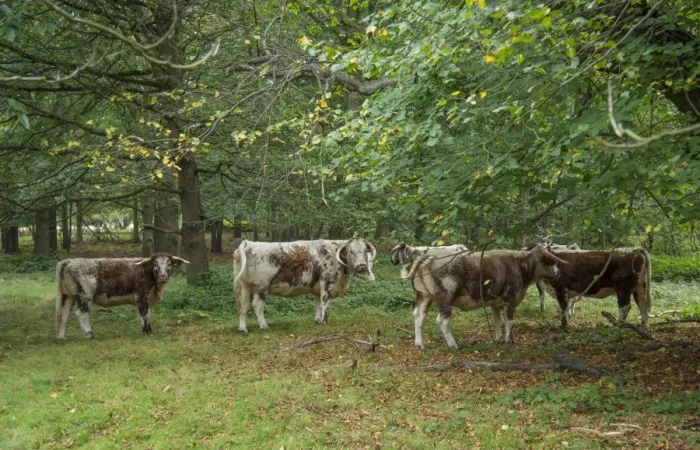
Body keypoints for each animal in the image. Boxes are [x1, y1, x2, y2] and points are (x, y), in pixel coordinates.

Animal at [55, 253, 189, 340]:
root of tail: (70, 261)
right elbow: (144, 315)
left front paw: (149, 330)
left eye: (169, 263)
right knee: (81, 314)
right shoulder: (141, 296)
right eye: (154, 264)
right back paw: (89, 334)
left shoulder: (148, 300)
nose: (163, 276)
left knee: (64, 314)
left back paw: (61, 337)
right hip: (85, 295)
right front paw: (146, 332)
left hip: (68, 296)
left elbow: (147, 315)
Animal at [233, 237, 376, 333]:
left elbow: (318, 304)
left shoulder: (317, 290)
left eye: (365, 251)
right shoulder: (328, 284)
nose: (362, 266)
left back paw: (242, 328)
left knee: (243, 306)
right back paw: (264, 326)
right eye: (351, 251)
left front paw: (318, 320)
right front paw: (324, 321)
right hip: (261, 287)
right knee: (257, 306)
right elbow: (325, 303)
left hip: (244, 286)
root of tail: (249, 243)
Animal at [407, 244, 568, 348]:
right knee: (442, 321)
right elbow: (508, 321)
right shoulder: (510, 298)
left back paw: (419, 343)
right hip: (444, 299)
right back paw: (453, 345)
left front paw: (497, 339)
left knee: (419, 315)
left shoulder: (495, 303)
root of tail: (428, 255)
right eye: (550, 261)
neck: (519, 265)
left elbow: (497, 321)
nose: (558, 272)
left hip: (423, 295)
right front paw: (509, 340)